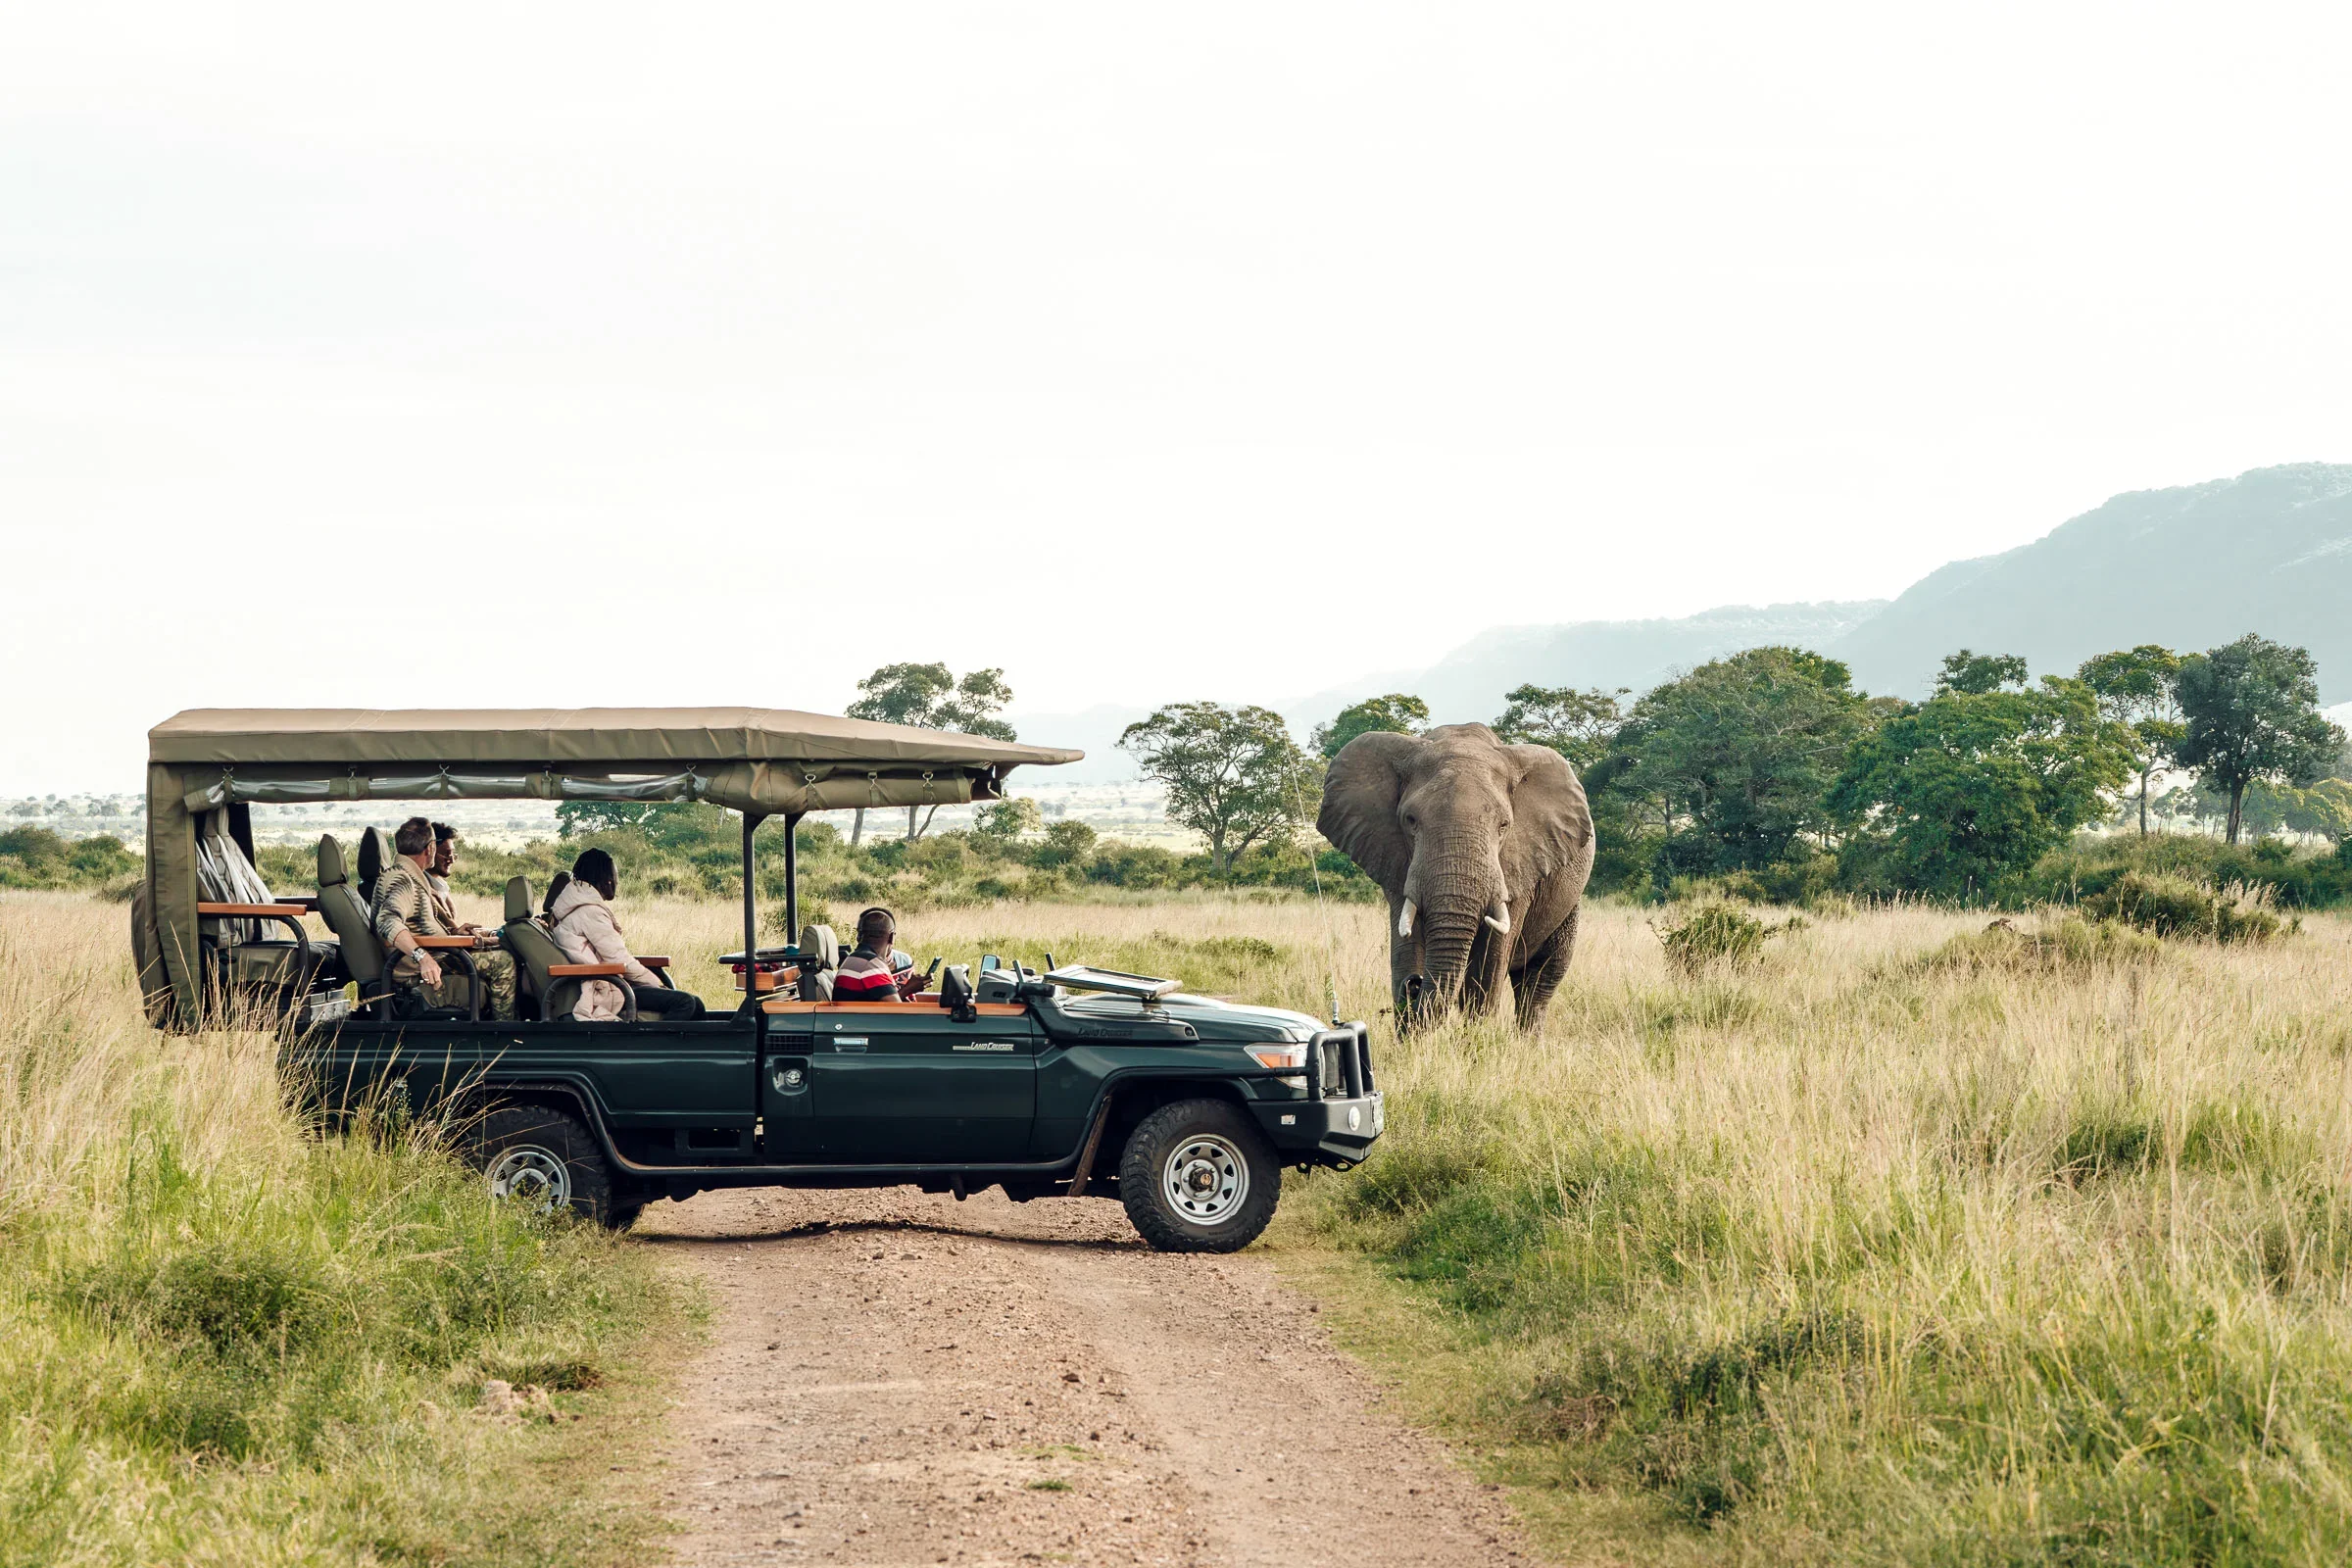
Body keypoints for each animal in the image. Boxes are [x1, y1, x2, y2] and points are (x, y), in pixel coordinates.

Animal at [1317, 723, 1595, 1029]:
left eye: (1503, 825)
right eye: (1410, 820)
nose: (1415, 984)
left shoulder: (1517, 866)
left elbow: (1487, 967)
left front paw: (1476, 1037)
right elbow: (1405, 944)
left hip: (1566, 903)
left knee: (1539, 982)